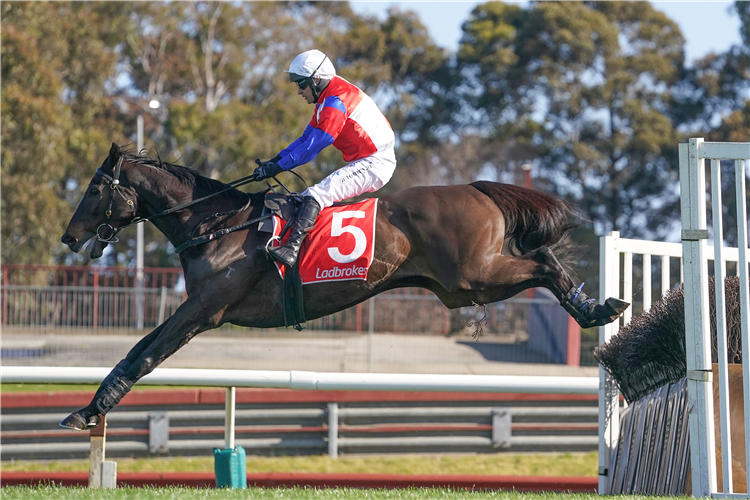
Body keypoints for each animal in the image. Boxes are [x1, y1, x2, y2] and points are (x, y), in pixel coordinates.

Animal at [57, 144, 628, 430]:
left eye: (94, 188)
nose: (69, 237)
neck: (217, 224)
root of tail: (475, 188)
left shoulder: (204, 310)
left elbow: (146, 357)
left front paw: (92, 410)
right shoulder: (193, 308)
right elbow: (135, 348)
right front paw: (88, 408)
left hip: (472, 277)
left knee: (544, 267)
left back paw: (596, 309)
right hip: (465, 286)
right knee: (542, 259)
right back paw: (596, 307)